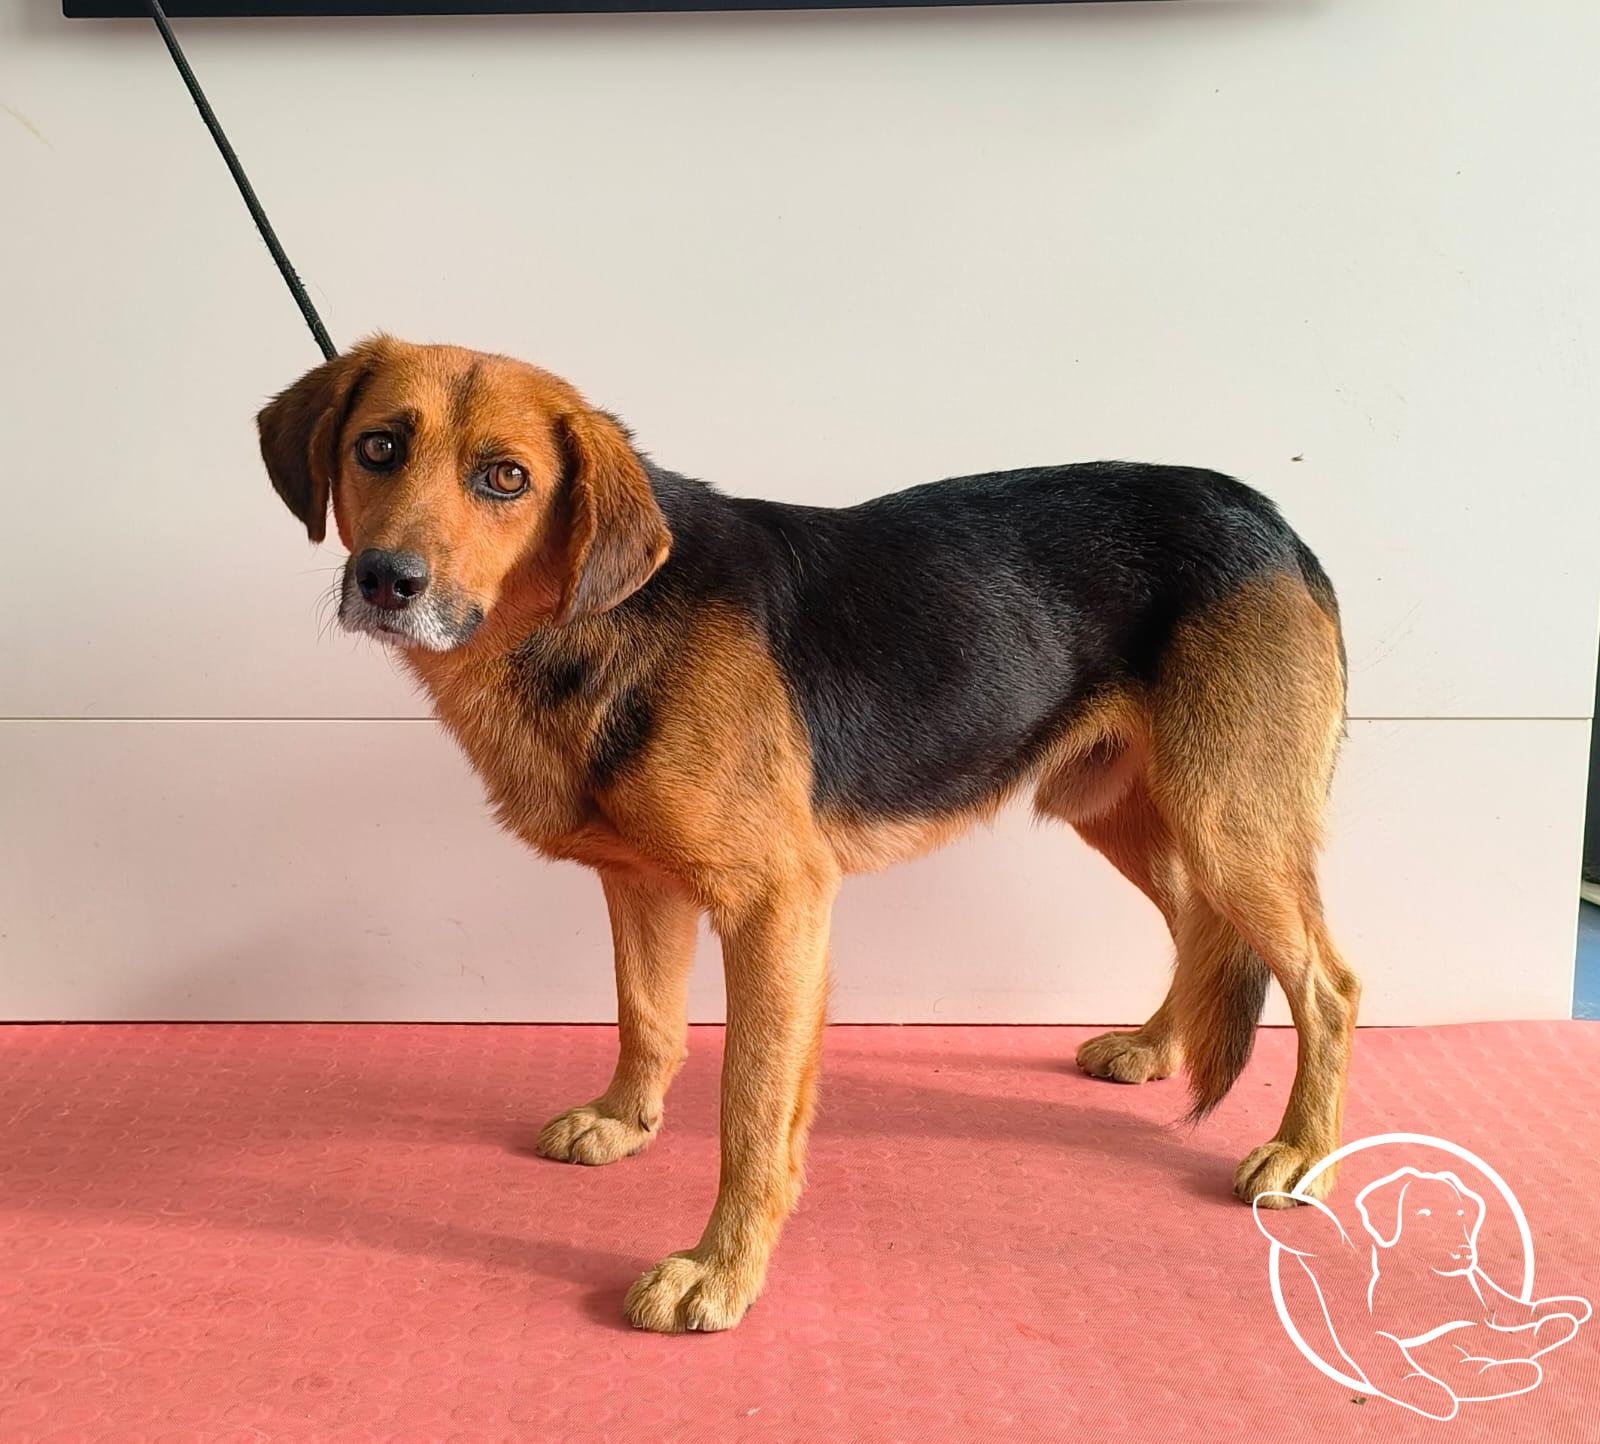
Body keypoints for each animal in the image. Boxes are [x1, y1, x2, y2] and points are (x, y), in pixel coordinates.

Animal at [257, 336, 1360, 1333]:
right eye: (378, 447)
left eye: (506, 478)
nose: (386, 580)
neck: (589, 618)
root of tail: (1262, 514)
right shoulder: (640, 883)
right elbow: (646, 1019)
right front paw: (624, 1121)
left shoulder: (776, 907)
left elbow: (751, 1110)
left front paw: (719, 1270)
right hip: (1131, 809)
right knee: (1200, 926)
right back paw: (1156, 1046)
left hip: (1230, 818)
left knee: (1327, 985)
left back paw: (1301, 1151)